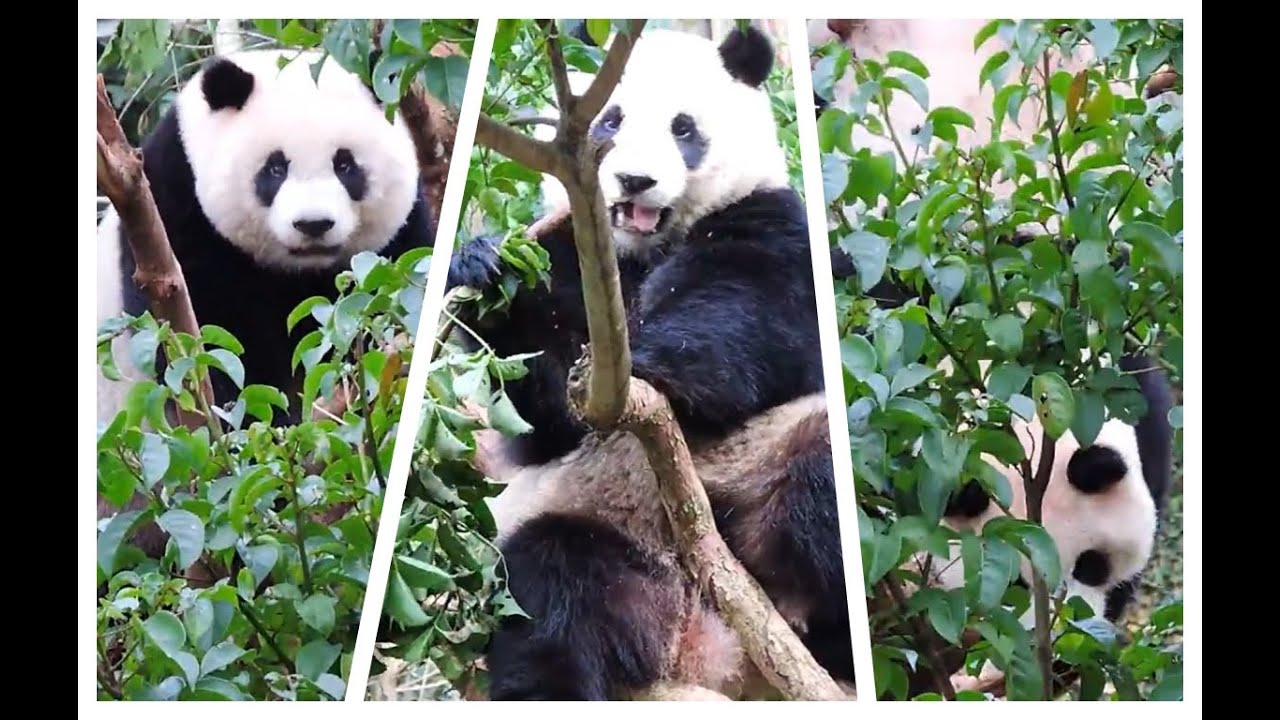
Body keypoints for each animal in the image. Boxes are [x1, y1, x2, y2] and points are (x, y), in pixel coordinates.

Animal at [96, 47, 434, 430]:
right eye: (275, 168)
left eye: (345, 165)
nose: (313, 224)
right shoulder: (174, 211)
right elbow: (212, 337)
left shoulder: (400, 236)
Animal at [445, 25, 854, 700]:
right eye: (609, 119)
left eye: (683, 128)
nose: (633, 180)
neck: (640, 251)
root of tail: (709, 646)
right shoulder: (571, 251)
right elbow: (545, 415)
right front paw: (482, 267)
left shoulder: (770, 221)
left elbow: (746, 311)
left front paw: (655, 364)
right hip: (595, 529)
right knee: (554, 589)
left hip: (761, 469)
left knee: (816, 482)